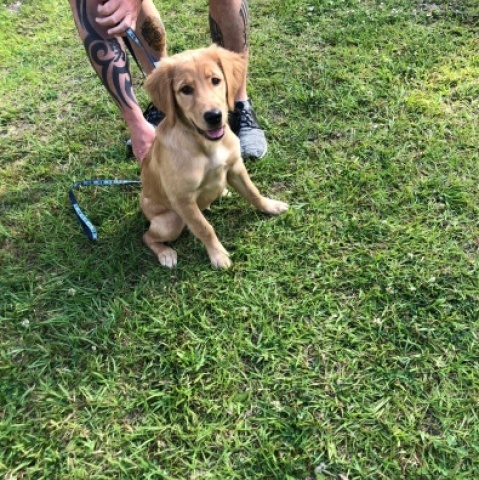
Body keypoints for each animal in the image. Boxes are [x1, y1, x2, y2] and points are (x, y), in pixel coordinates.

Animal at [140, 45, 288, 269]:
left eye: (216, 80)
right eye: (185, 89)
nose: (214, 116)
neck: (207, 145)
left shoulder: (236, 167)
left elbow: (253, 192)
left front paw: (270, 206)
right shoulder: (183, 200)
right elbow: (204, 228)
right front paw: (218, 256)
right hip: (171, 221)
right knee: (147, 237)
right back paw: (165, 253)